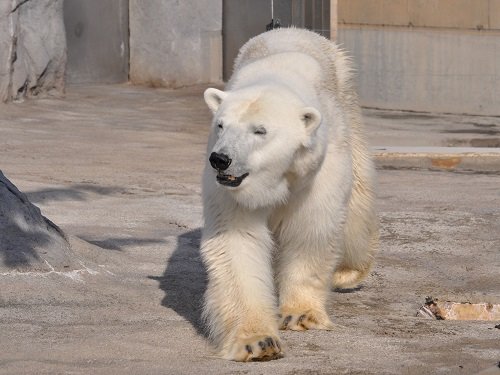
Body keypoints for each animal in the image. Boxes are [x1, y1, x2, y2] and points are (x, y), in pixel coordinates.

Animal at [199, 27, 378, 362]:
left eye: (260, 131)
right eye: (221, 124)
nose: (221, 159)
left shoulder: (318, 169)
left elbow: (311, 228)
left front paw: (300, 315)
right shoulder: (229, 191)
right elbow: (239, 243)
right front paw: (257, 342)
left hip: (348, 100)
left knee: (359, 194)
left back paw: (349, 271)